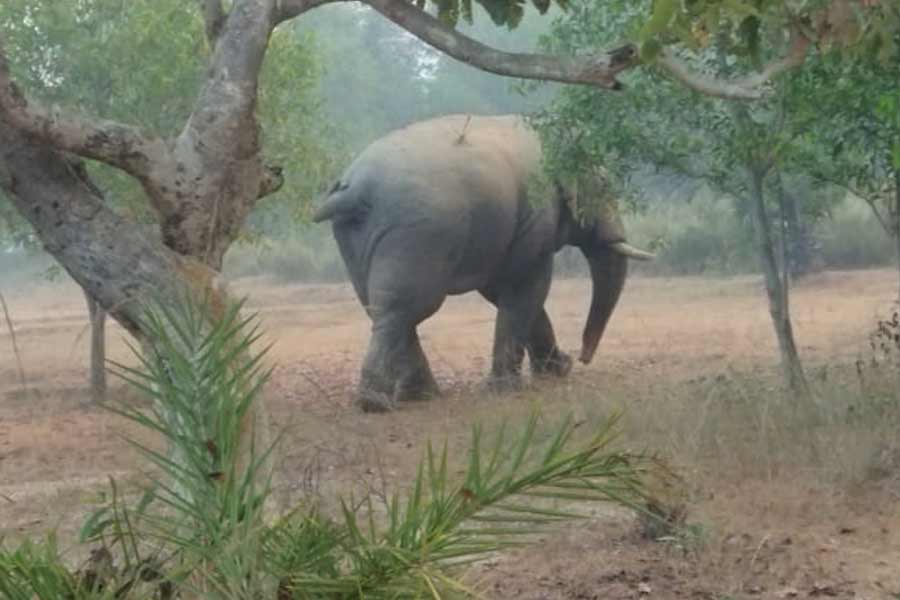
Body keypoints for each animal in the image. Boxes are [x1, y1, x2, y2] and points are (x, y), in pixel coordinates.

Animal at [312, 112, 652, 412]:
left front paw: (557, 370)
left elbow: (500, 290)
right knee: (405, 307)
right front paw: (510, 388)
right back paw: (379, 403)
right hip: (417, 233)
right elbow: (526, 285)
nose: (582, 357)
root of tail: (353, 189)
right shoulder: (535, 214)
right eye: (605, 187)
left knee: (381, 306)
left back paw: (417, 396)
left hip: (355, 238)